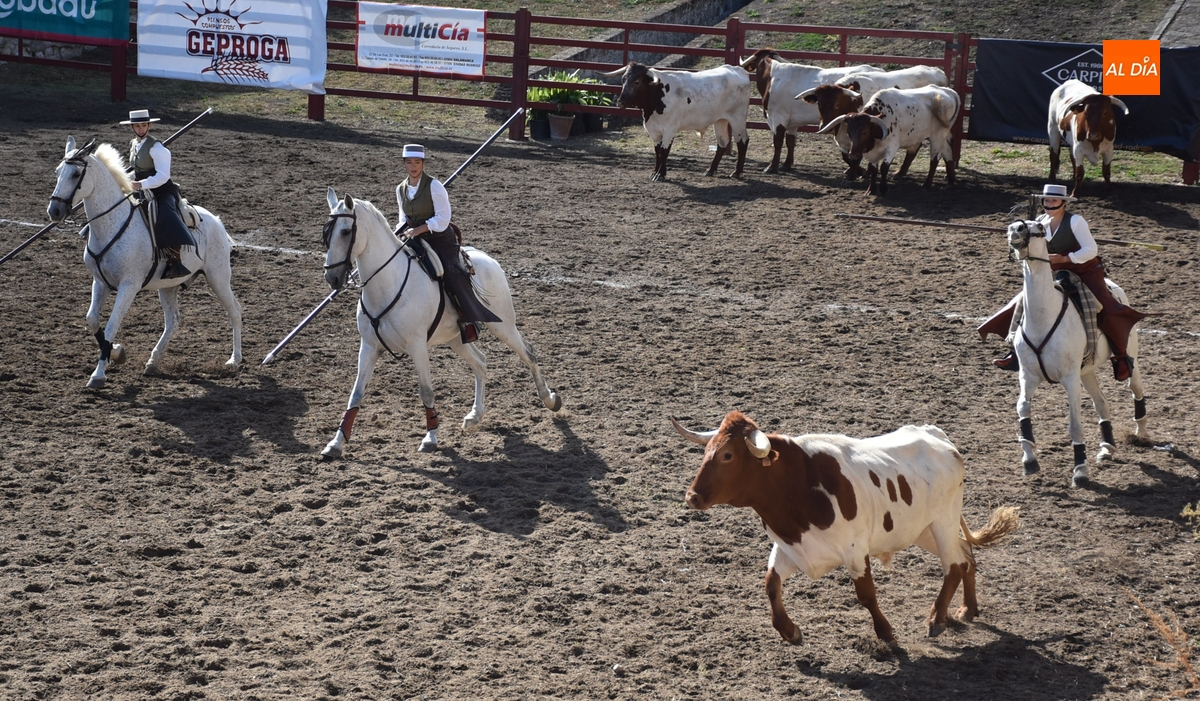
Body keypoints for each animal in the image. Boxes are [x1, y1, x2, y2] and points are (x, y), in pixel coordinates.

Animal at [603, 61, 750, 181]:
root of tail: (738, 70)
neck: (657, 94)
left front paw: (660, 174)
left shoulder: (670, 129)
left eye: (637, 81)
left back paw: (736, 172)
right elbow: (657, 151)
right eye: (623, 79)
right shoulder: (654, 130)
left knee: (742, 142)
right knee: (722, 143)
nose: (620, 102)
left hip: (738, 118)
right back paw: (710, 170)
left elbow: (664, 151)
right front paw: (654, 172)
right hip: (720, 120)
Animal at [671, 411, 1020, 645]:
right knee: (966, 555)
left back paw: (937, 618)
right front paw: (790, 630)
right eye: (706, 451)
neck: (799, 485)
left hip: (943, 521)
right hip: (922, 529)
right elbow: (771, 584)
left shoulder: (854, 551)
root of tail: (939, 437)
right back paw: (967, 609)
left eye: (728, 455)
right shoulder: (790, 547)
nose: (692, 497)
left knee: (954, 564)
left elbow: (866, 594)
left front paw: (886, 633)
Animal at [739, 48, 877, 173]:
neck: (773, 78)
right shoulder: (792, 123)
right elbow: (790, 142)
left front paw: (772, 167)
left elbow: (778, 142)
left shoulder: (778, 118)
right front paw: (786, 164)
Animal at [817, 85, 960, 196]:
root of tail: (947, 91)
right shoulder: (872, 152)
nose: (853, 154)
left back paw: (927, 185)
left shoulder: (892, 147)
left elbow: (884, 168)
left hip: (937, 136)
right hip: (942, 136)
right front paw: (871, 189)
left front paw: (883, 189)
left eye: (864, 132)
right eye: (849, 132)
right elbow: (874, 170)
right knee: (947, 153)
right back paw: (951, 181)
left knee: (934, 160)